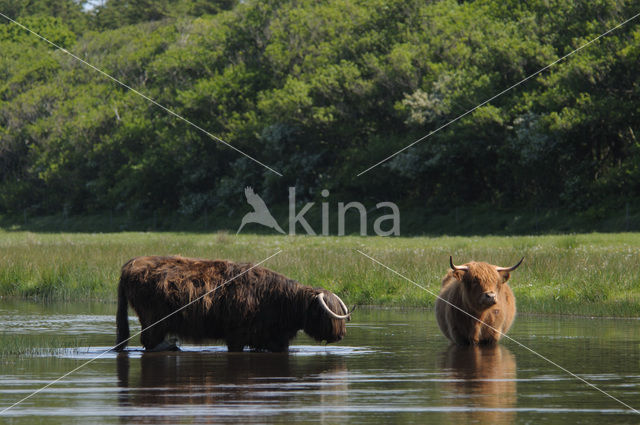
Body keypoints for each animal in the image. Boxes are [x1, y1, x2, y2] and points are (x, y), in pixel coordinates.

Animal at [117, 255, 352, 352]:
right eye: (327, 315)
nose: (341, 335)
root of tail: (130, 265)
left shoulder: (274, 338)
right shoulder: (237, 334)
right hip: (153, 317)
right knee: (150, 341)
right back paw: (173, 345)